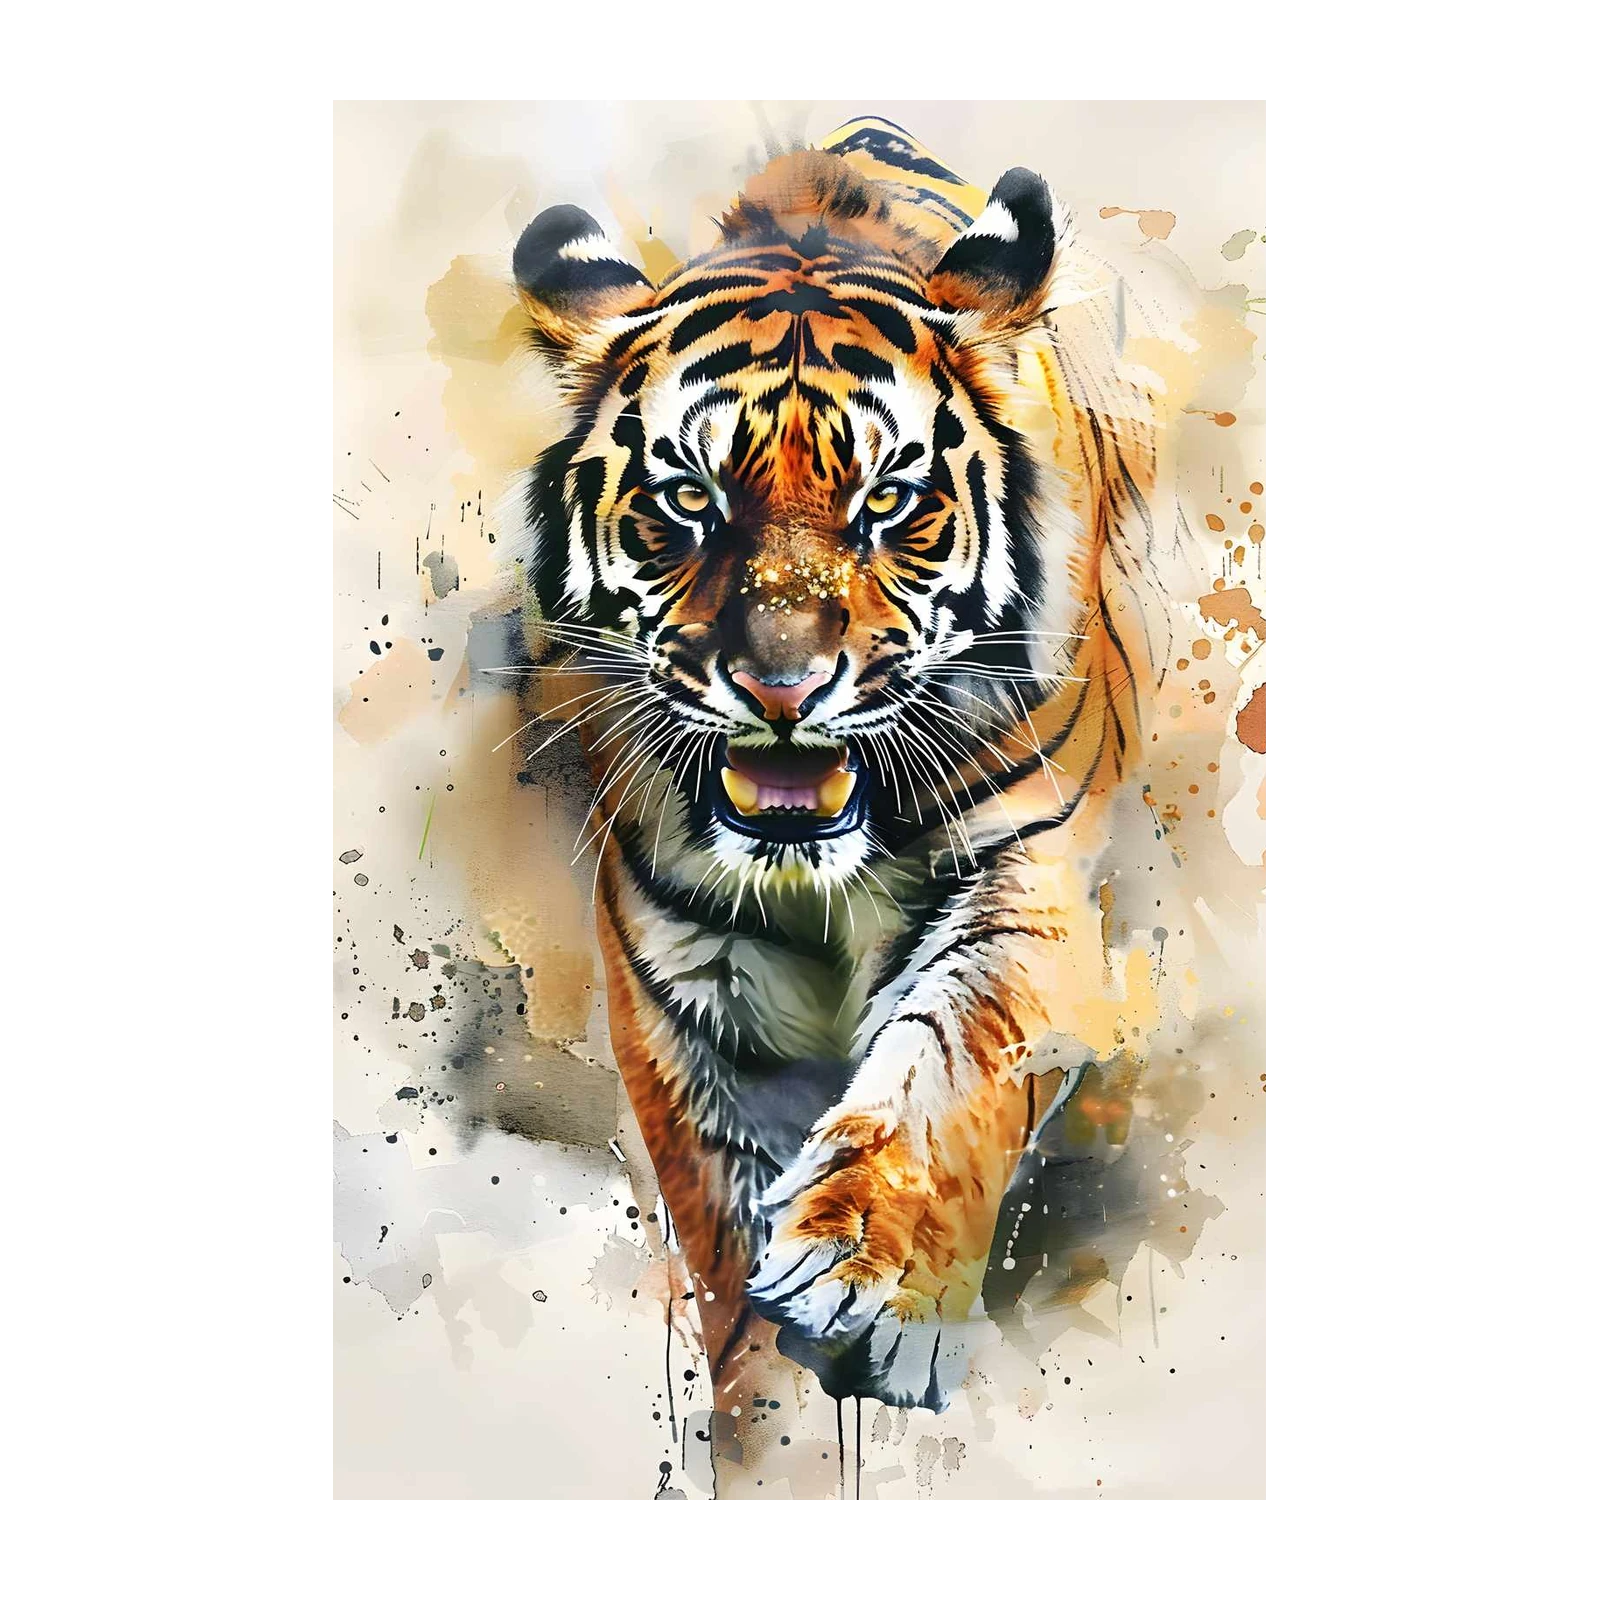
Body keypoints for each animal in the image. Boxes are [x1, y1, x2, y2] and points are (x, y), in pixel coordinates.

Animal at [508, 115, 1176, 1417]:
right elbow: (715, 1209)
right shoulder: (680, 966)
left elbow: (954, 1060)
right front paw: (759, 1377)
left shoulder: (1026, 873)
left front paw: (866, 1270)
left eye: (888, 501)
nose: (781, 686)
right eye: (688, 498)